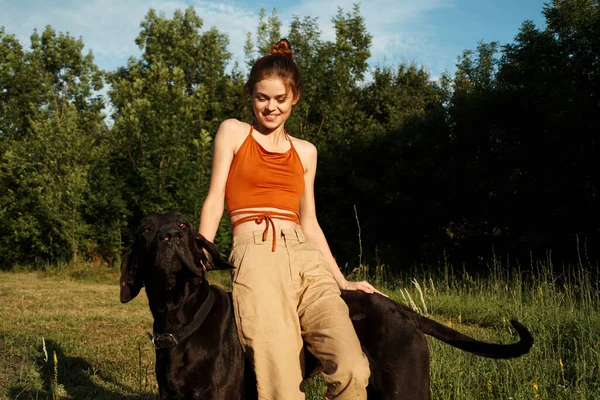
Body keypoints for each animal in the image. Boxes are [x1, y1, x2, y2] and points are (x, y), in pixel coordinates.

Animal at [119, 211, 532, 398]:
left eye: (185, 226)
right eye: (145, 230)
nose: (169, 237)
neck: (179, 320)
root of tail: (400, 310)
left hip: (405, 386)